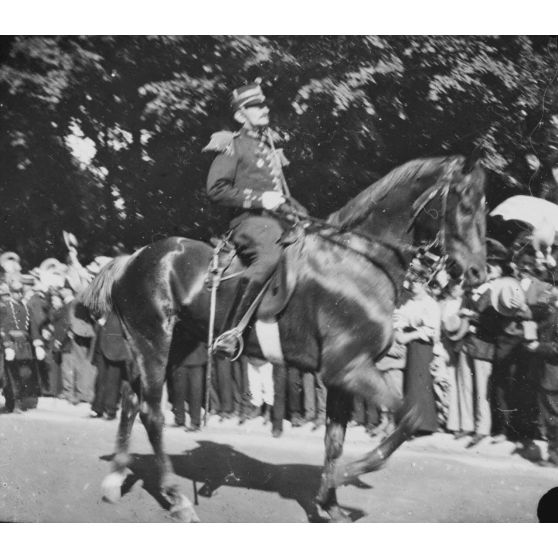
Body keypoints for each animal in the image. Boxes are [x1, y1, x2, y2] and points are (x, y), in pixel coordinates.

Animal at [81, 154, 488, 524]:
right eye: (466, 205)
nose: (478, 273)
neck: (358, 263)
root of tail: (133, 258)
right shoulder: (349, 368)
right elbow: (409, 417)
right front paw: (345, 476)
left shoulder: (340, 378)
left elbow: (335, 441)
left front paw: (330, 504)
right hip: (153, 341)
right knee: (151, 411)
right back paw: (176, 498)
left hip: (175, 344)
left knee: (131, 399)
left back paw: (116, 479)